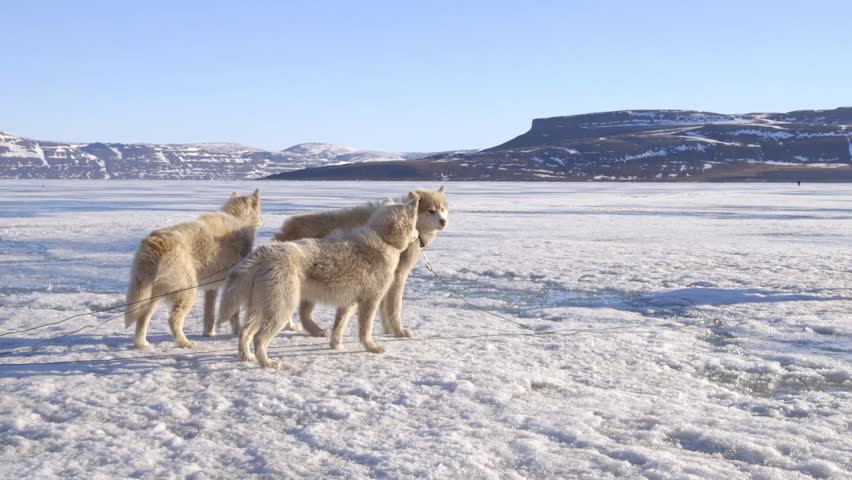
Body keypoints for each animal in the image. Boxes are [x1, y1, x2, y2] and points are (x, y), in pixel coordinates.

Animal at [125, 188, 262, 348]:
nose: (263, 220)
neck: (239, 219)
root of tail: (157, 243)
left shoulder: (212, 288)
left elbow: (209, 314)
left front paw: (208, 334)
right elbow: (234, 315)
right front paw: (237, 332)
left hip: (151, 296)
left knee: (142, 318)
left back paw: (142, 344)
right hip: (187, 291)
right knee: (173, 320)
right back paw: (184, 343)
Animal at [218, 193, 422, 370]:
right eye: (415, 226)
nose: (419, 239)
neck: (383, 239)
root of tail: (262, 254)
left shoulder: (348, 304)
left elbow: (338, 328)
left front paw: (336, 346)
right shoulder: (370, 302)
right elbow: (366, 330)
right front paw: (372, 348)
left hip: (261, 309)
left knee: (245, 332)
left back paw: (247, 357)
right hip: (281, 311)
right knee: (259, 338)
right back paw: (267, 364)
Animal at [272, 186, 450, 340]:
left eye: (443, 209)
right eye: (431, 210)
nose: (443, 221)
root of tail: (285, 230)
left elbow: (384, 310)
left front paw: (388, 331)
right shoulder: (397, 278)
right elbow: (394, 309)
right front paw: (399, 331)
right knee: (303, 313)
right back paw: (316, 330)